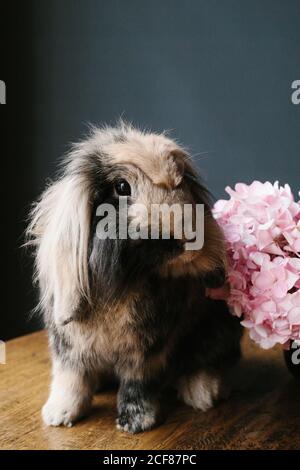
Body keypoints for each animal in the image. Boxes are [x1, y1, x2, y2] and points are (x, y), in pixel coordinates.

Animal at [26, 120, 241, 434]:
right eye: (121, 187)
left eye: (182, 183)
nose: (188, 239)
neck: (124, 281)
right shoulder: (68, 347)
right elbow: (70, 380)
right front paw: (58, 415)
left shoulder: (146, 351)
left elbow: (137, 384)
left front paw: (136, 423)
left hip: (217, 329)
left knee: (209, 362)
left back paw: (203, 393)